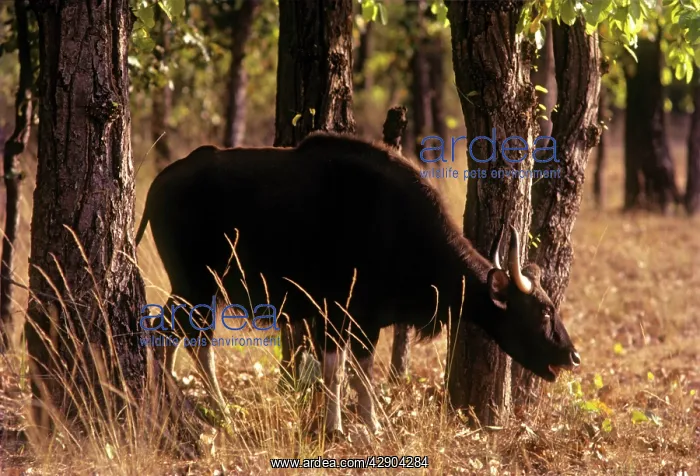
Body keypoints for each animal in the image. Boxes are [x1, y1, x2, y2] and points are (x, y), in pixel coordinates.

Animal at [135, 132, 580, 435]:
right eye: (543, 311)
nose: (572, 355)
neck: (400, 227)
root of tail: (159, 185)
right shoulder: (335, 312)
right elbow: (336, 370)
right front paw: (335, 427)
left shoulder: (368, 320)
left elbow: (362, 371)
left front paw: (371, 425)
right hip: (197, 286)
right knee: (190, 341)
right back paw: (217, 413)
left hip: (193, 288)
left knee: (167, 335)